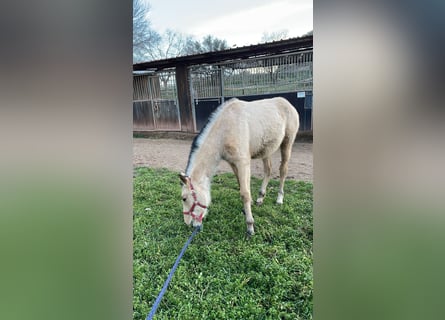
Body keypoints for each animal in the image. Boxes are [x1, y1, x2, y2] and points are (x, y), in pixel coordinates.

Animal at [180, 97, 298, 235]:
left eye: (184, 198)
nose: (189, 224)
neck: (226, 129)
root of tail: (287, 103)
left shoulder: (243, 163)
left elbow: (245, 193)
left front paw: (250, 227)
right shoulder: (233, 163)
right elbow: (241, 186)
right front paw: (248, 207)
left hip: (287, 143)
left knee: (283, 170)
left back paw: (279, 198)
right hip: (266, 150)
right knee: (268, 170)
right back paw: (260, 198)